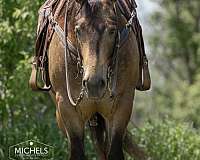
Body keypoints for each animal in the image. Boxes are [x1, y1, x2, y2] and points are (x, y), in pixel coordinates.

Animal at [29, 0, 150, 159]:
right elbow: (77, 152)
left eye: (112, 30)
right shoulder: (67, 107)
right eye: (78, 30)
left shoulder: (123, 104)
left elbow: (114, 152)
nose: (94, 84)